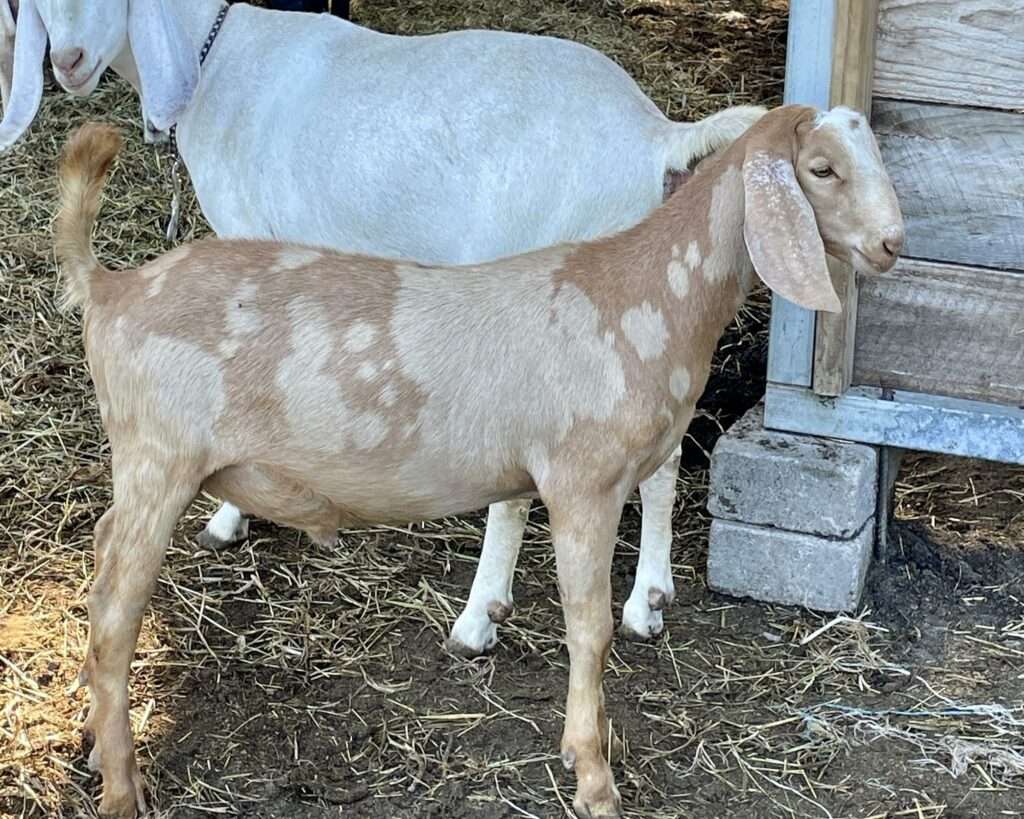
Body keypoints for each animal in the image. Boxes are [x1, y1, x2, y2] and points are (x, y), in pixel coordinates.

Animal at [0, 0, 770, 651]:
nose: (69, 60)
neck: (220, 58)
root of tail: (653, 137)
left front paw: (229, 515)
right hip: (641, 310)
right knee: (663, 454)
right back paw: (648, 600)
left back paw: (479, 616)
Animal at [56, 106, 905, 818]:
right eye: (822, 169)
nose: (893, 243)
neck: (647, 294)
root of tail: (110, 288)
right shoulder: (582, 480)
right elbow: (589, 627)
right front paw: (593, 777)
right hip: (160, 456)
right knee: (114, 611)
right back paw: (123, 786)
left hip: (143, 463)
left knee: (99, 561)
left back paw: (96, 743)